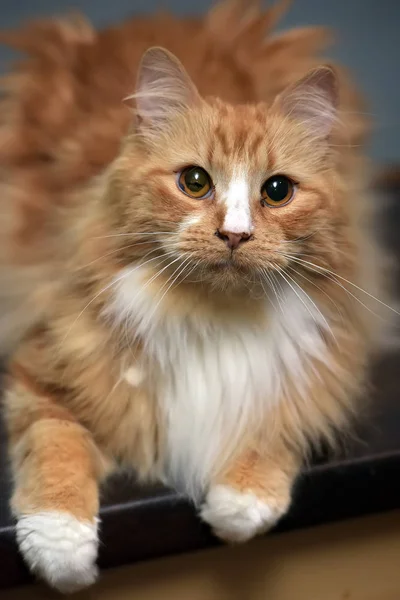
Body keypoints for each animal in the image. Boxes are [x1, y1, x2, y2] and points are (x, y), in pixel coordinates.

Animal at [0, 0, 382, 592]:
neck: (212, 316)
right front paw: (64, 556)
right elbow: (55, 448)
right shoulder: (40, 371)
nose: (235, 235)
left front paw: (239, 506)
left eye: (277, 191)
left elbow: (280, 426)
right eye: (195, 182)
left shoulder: (319, 363)